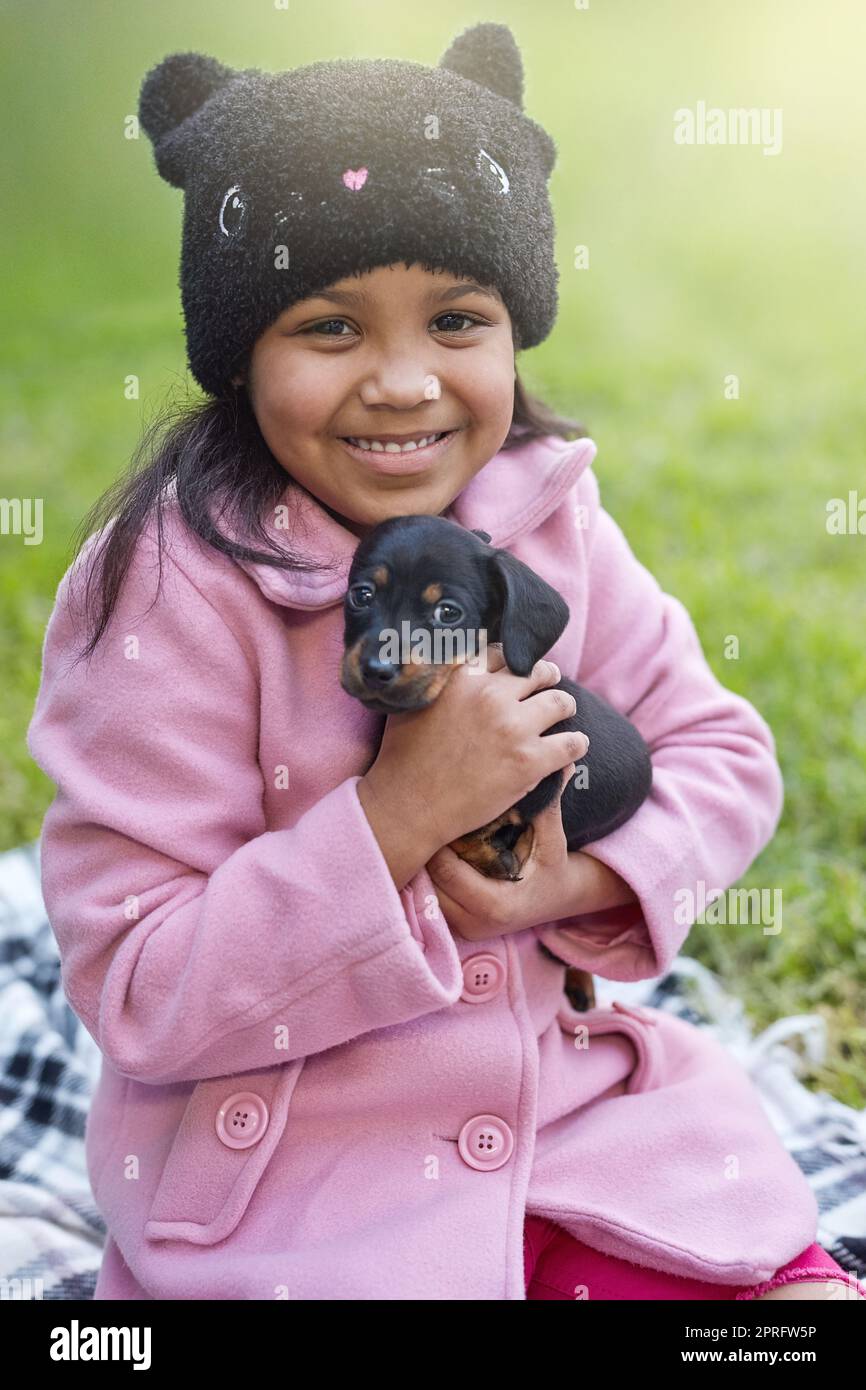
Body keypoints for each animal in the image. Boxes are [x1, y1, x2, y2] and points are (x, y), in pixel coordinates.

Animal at [339, 514, 650, 889]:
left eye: (448, 613)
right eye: (362, 595)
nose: (375, 670)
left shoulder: (540, 785)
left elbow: (469, 828)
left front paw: (494, 857)